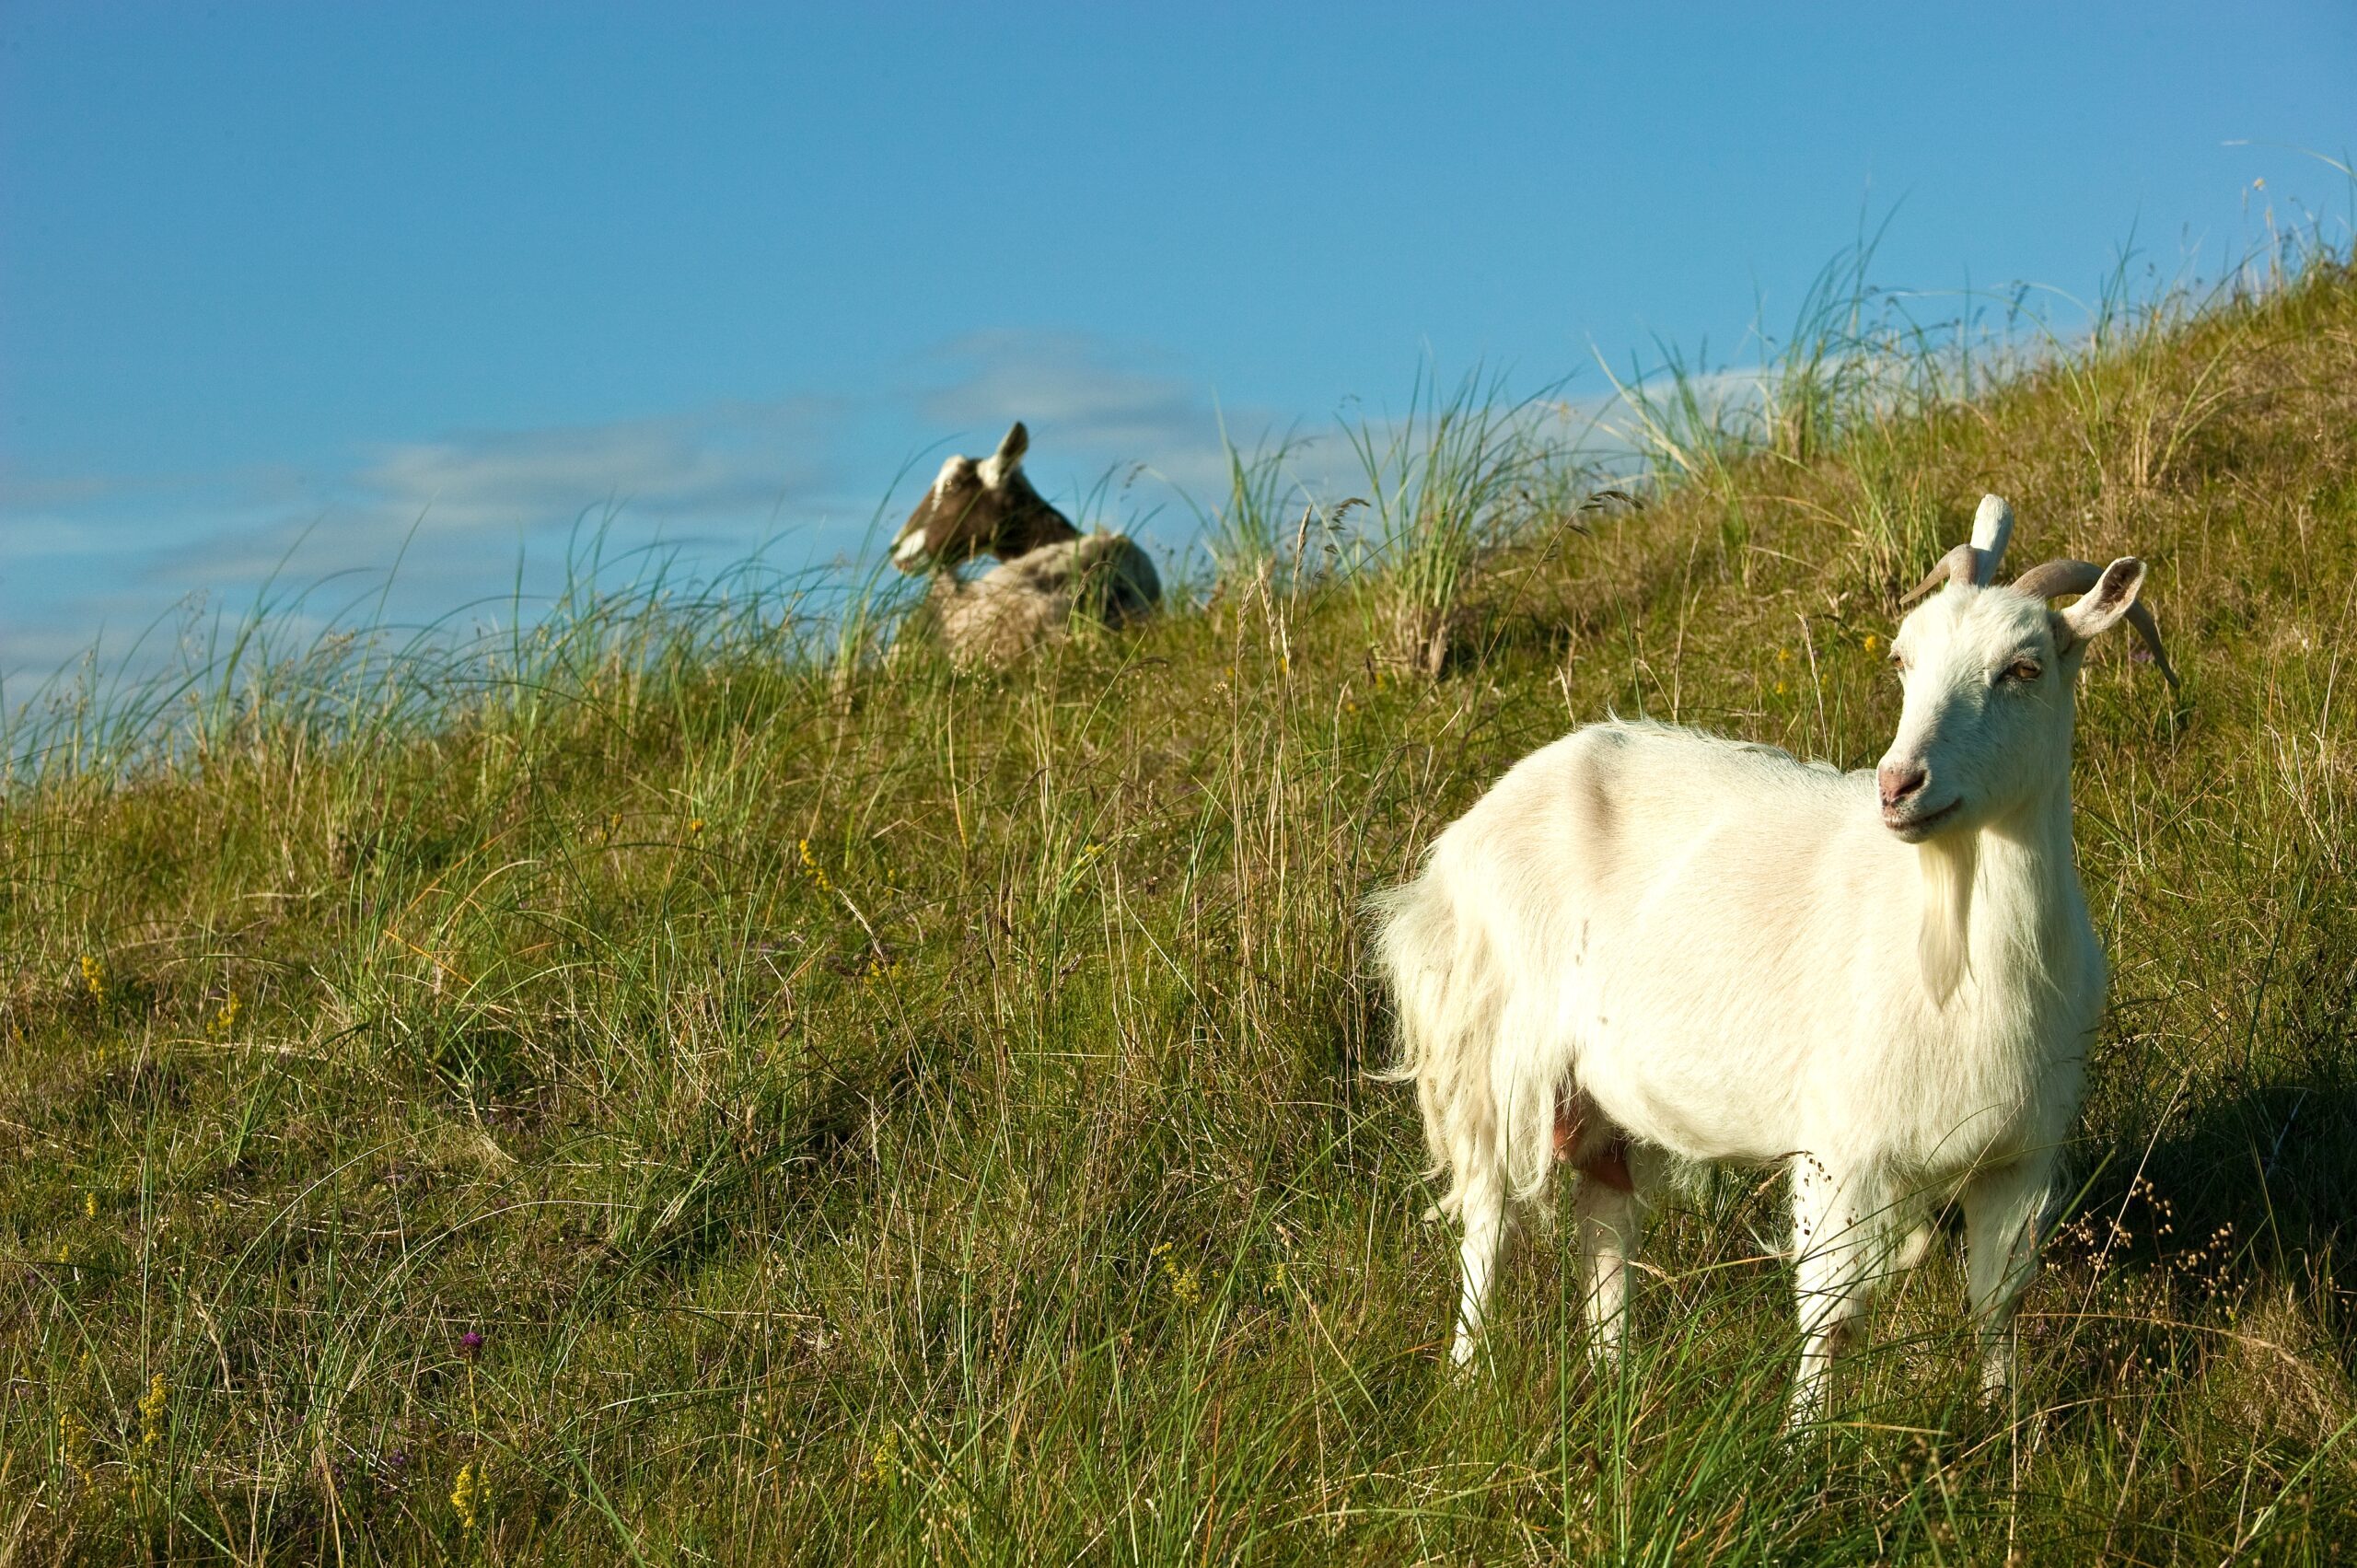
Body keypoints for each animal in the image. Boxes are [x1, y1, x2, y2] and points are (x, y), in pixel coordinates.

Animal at [1376, 497, 2177, 1414]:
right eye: (1902, 659)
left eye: (2024, 667)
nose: (1898, 785)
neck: (1951, 940)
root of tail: (1464, 835)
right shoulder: (1841, 1147)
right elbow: (1831, 1315)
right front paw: (1804, 1437)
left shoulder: (2018, 1152)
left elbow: (1997, 1301)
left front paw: (2001, 1423)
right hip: (1489, 1050)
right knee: (1488, 1220)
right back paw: (1467, 1378)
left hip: (1599, 1093)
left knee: (1603, 1222)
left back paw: (1616, 1378)